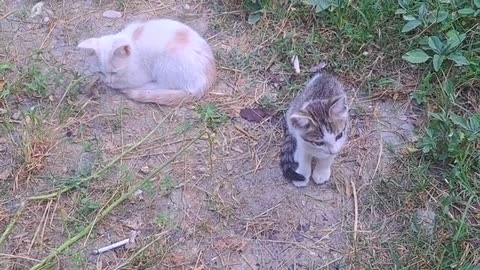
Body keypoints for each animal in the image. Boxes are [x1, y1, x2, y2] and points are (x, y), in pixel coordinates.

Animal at [78, 18, 217, 105]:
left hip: (164, 65)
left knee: (163, 85)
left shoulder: (137, 75)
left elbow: (121, 83)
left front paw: (113, 84)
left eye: (115, 72)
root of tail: (205, 81)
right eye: (100, 72)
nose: (108, 81)